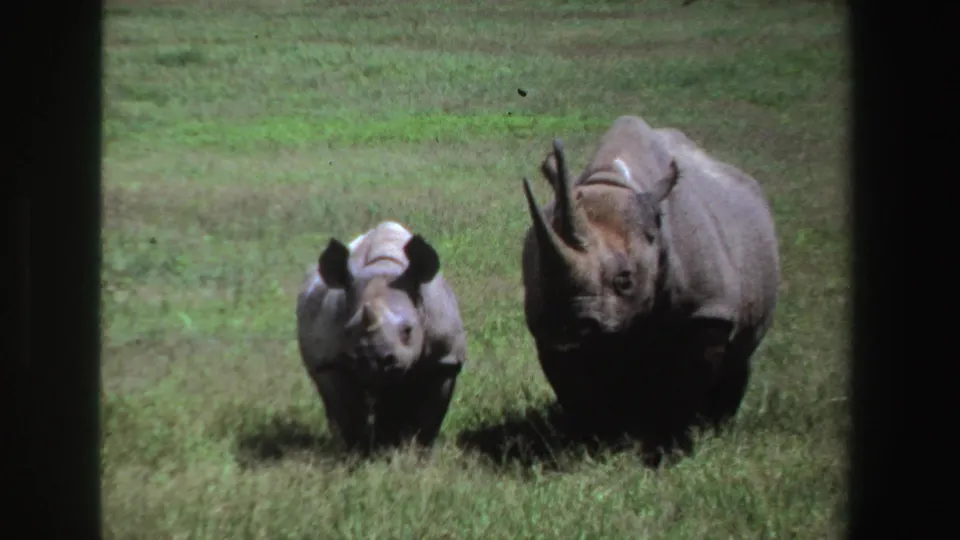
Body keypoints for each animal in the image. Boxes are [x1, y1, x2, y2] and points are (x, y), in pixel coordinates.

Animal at [295, 221, 468, 453]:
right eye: (349, 331)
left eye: (408, 330)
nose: (374, 358)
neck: (384, 268)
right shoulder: (331, 362)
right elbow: (347, 414)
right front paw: (357, 454)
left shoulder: (445, 361)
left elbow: (430, 416)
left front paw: (419, 453)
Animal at [519, 115, 780, 459]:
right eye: (541, 277)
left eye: (625, 280)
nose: (568, 328)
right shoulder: (547, 326)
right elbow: (576, 386)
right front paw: (594, 444)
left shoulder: (708, 311)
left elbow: (688, 383)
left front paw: (672, 449)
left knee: (738, 357)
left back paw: (717, 427)